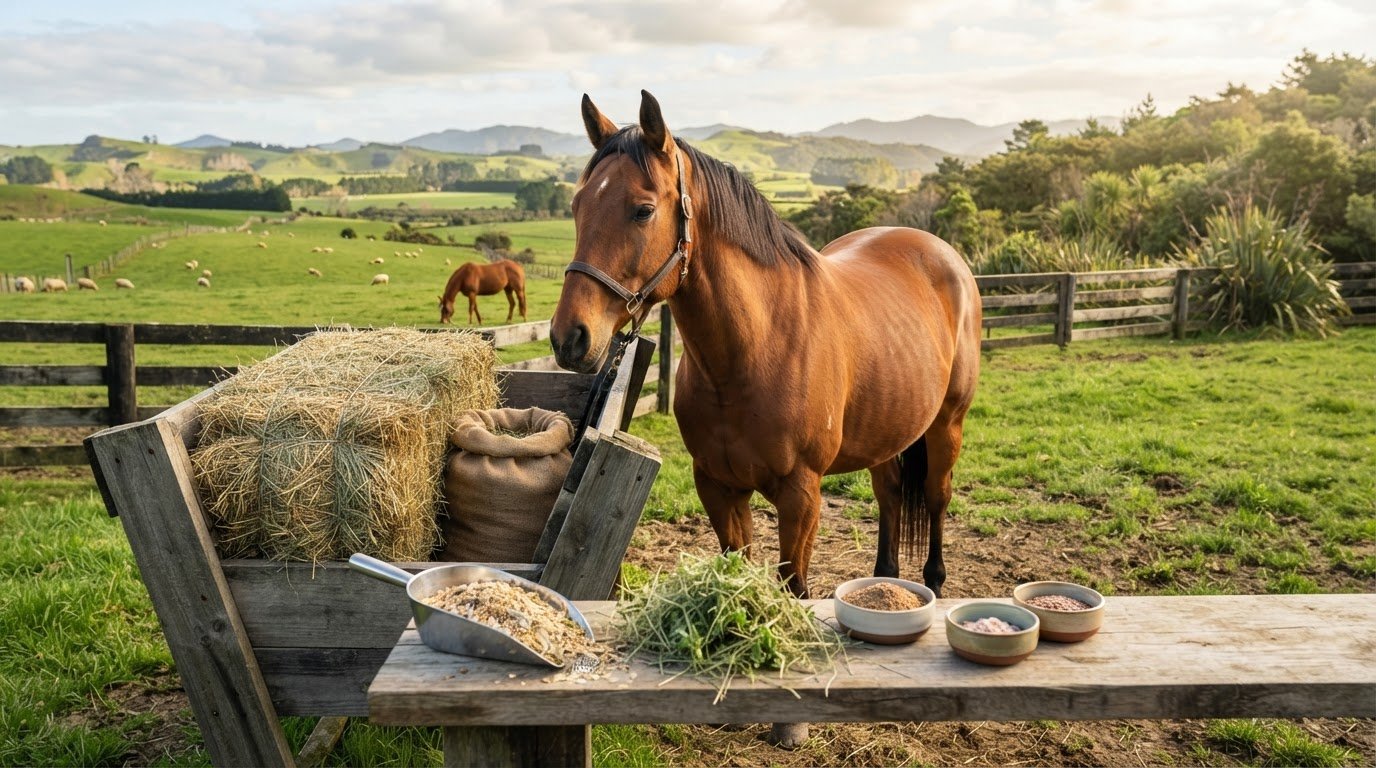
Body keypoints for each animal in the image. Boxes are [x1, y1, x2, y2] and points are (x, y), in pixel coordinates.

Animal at [551, 91, 982, 604]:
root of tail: (942, 252)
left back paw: (933, 578)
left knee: (937, 496)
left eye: (643, 210)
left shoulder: (801, 497)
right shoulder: (718, 488)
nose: (569, 337)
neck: (752, 353)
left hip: (947, 425)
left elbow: (795, 584)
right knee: (891, 495)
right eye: (577, 205)